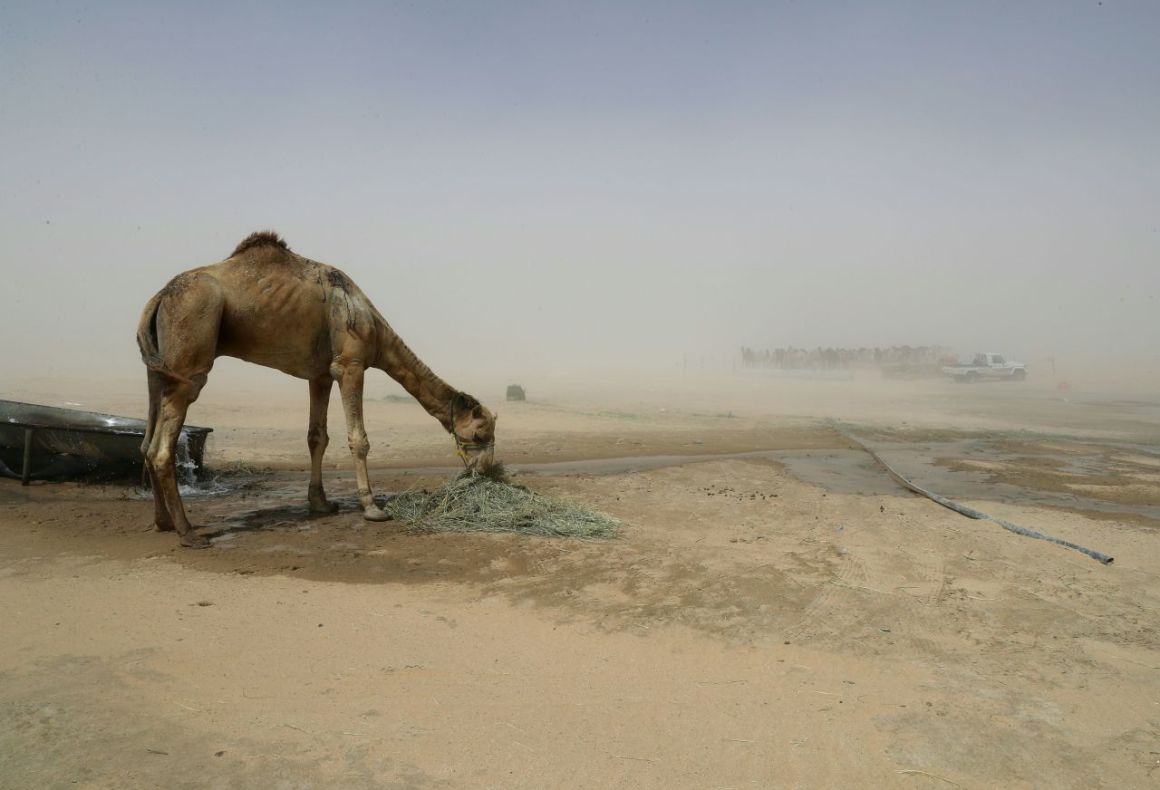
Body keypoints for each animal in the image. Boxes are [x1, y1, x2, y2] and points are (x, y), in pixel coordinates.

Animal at [136, 230, 498, 545]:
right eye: (480, 432)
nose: (487, 471)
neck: (373, 324)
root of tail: (158, 298)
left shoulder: (320, 374)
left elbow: (317, 437)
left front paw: (321, 504)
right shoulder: (349, 364)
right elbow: (358, 439)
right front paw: (372, 508)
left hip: (159, 368)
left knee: (147, 441)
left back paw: (163, 522)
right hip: (191, 347)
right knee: (163, 447)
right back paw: (189, 533)